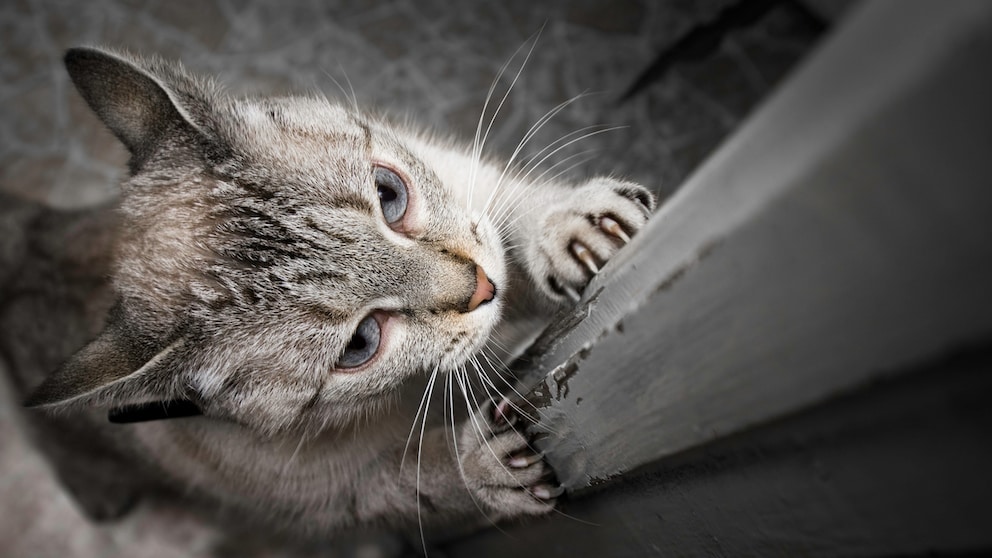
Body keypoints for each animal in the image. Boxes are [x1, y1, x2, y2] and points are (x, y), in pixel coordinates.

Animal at [7, 47, 656, 544]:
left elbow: (505, 214)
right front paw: (480, 467)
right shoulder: (341, 500)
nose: (481, 288)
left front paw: (567, 228)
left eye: (389, 194)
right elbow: (415, 482)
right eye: (360, 345)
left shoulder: (464, 188)